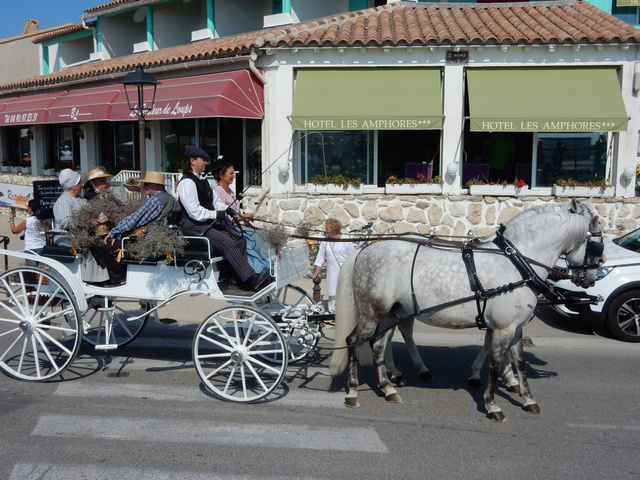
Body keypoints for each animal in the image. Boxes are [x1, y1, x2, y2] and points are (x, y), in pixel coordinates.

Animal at [330, 201, 604, 422]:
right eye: (597, 242)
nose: (592, 277)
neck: (514, 262)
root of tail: (365, 249)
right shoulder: (503, 328)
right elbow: (495, 364)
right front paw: (492, 404)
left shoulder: (515, 329)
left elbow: (520, 363)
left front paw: (528, 398)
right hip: (372, 313)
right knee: (354, 341)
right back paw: (353, 392)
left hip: (391, 313)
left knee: (378, 344)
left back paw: (388, 387)